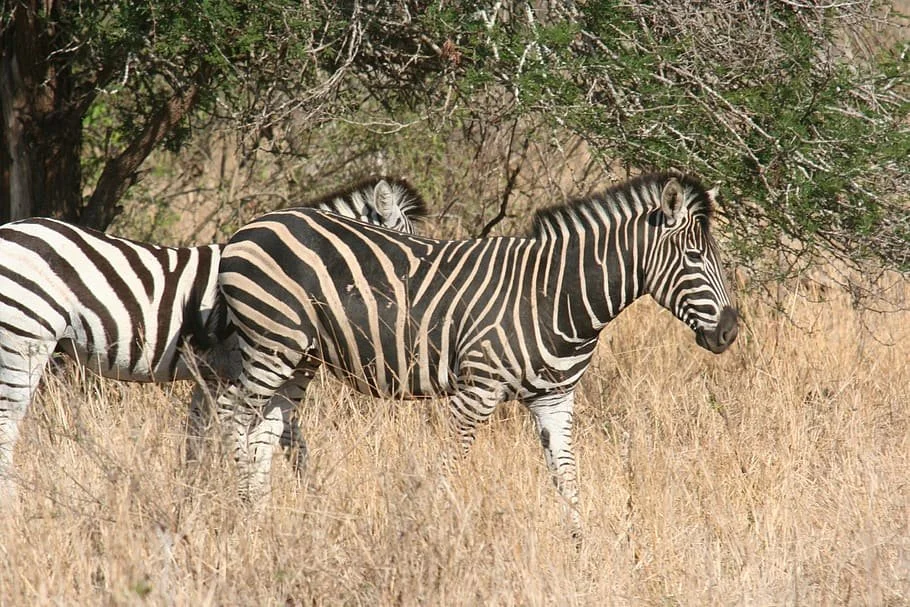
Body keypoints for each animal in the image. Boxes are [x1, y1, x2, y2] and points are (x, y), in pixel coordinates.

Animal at [0, 177, 426, 499]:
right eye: (403, 251)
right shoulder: (245, 367)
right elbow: (285, 441)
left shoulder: (213, 376)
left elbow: (199, 444)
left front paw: (192, 499)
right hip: (25, 338)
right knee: (8, 424)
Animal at [210, 171, 738, 536]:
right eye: (695, 258)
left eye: (717, 256)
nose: (730, 331)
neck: (554, 296)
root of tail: (250, 227)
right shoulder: (476, 390)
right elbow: (450, 465)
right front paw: (429, 532)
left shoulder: (555, 397)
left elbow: (567, 475)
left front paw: (581, 547)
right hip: (271, 343)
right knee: (232, 412)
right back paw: (235, 508)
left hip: (299, 357)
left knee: (264, 428)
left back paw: (261, 518)